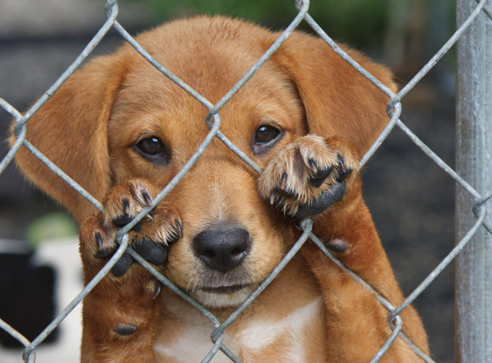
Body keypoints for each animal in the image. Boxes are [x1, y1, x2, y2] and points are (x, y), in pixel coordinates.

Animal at [9, 15, 428, 362]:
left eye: (266, 133)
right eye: (151, 145)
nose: (223, 248)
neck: (237, 322)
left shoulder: (399, 339)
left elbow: (366, 289)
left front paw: (330, 195)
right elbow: (112, 331)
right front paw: (121, 261)